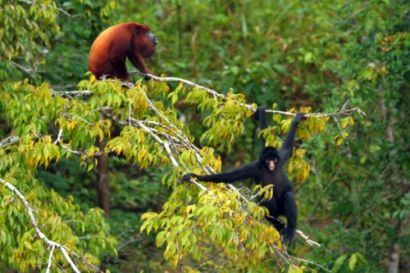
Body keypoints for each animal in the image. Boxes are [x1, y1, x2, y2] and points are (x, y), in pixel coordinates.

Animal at [182, 107, 304, 244]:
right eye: (268, 160)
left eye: (274, 159)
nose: (272, 164)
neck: (269, 169)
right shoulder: (254, 168)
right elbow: (228, 176)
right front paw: (193, 176)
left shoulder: (281, 158)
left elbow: (288, 148)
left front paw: (296, 120)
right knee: (268, 199)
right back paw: (279, 225)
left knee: (288, 195)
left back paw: (290, 230)